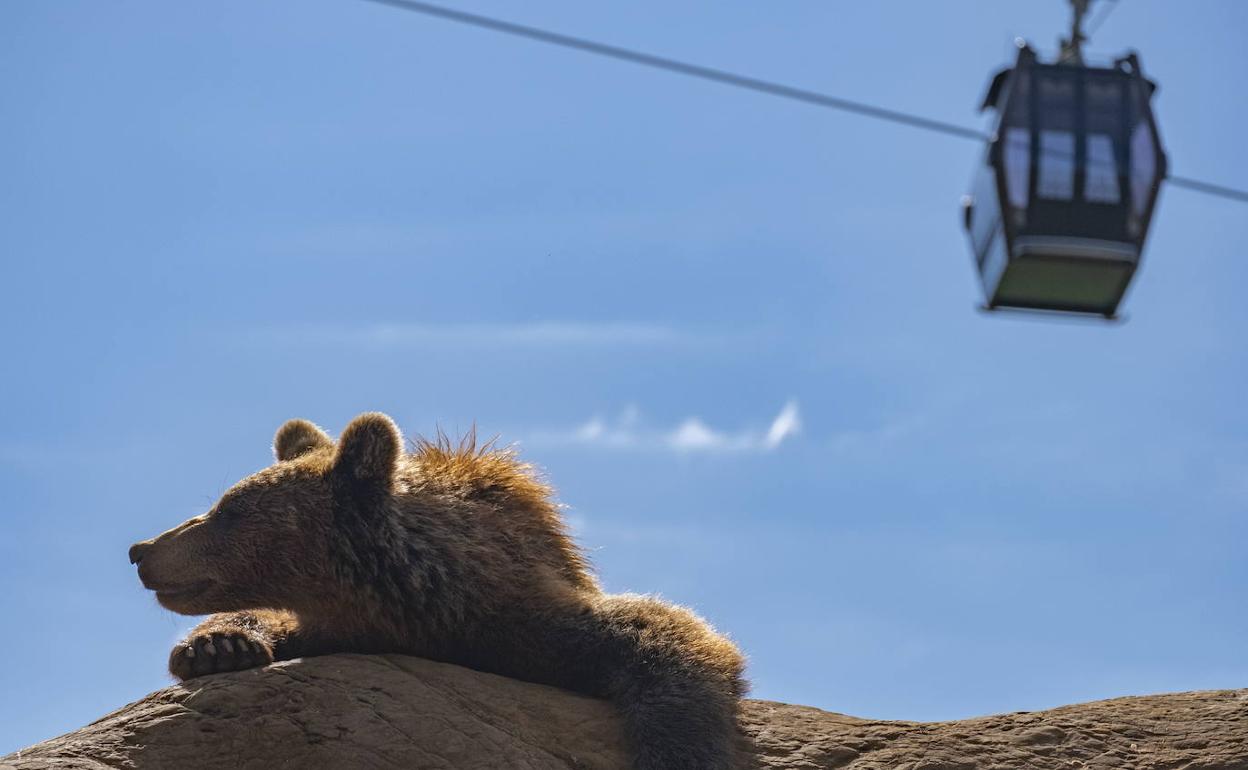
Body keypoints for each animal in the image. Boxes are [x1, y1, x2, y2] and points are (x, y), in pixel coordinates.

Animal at [131, 414, 743, 768]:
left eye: (227, 510)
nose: (142, 549)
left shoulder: (517, 611)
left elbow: (662, 631)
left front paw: (678, 750)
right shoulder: (336, 623)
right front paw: (216, 647)